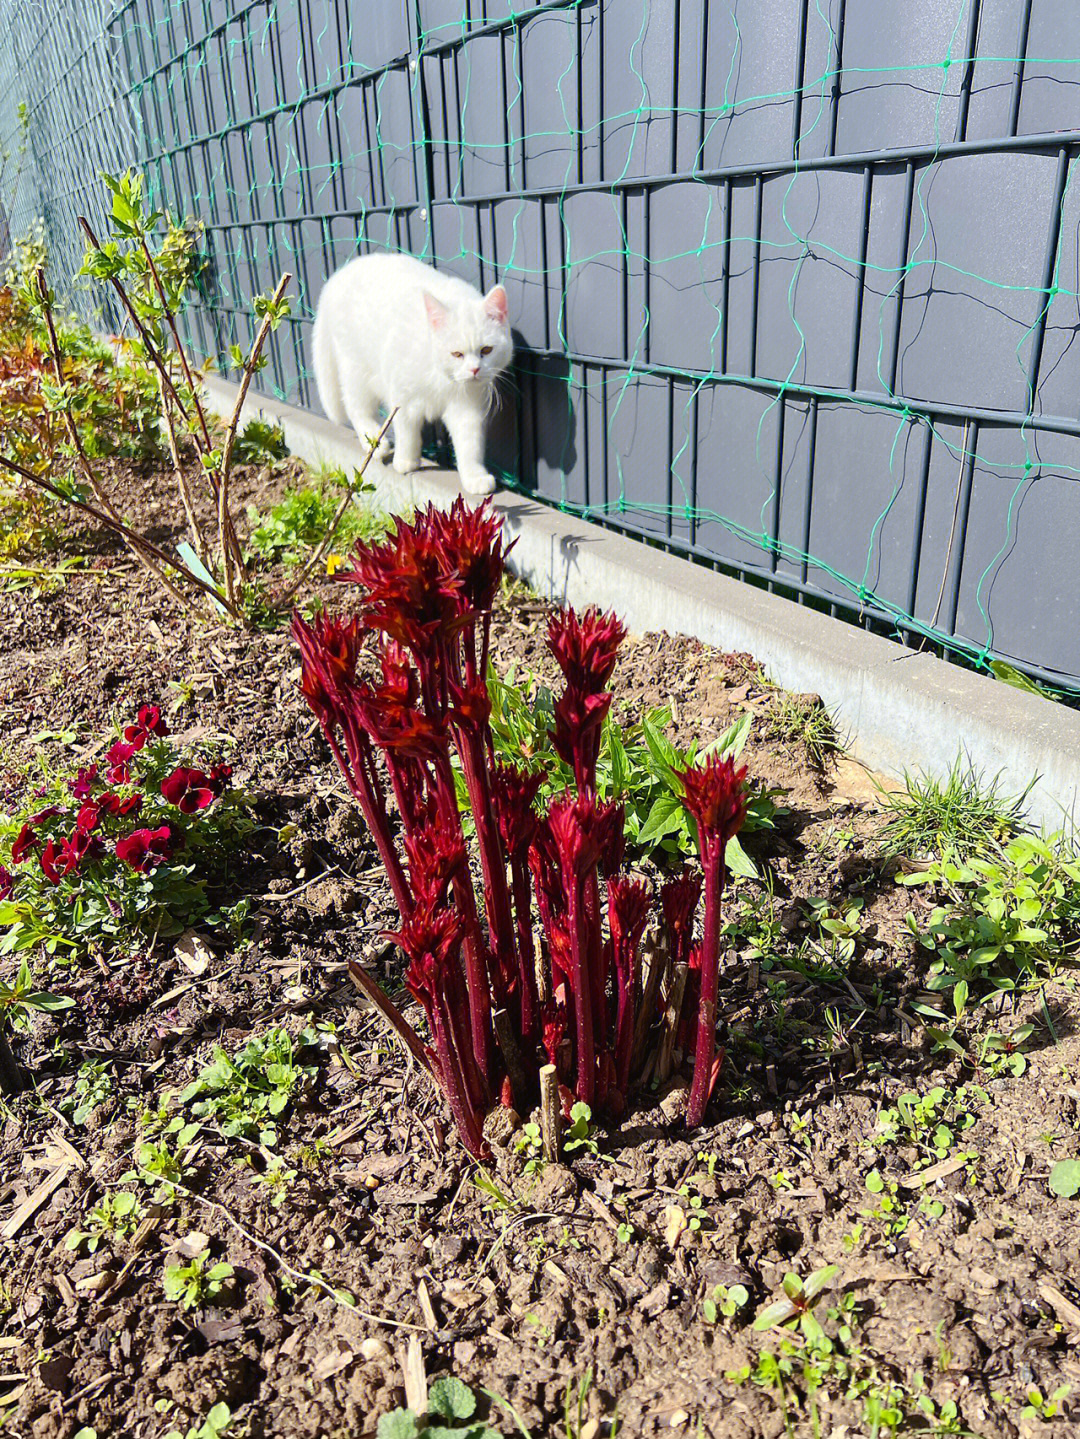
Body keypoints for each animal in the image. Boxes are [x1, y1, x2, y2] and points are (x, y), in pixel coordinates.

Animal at [310, 257, 511, 500]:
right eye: (456, 354)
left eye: (487, 350)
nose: (474, 370)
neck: (443, 378)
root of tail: (336, 278)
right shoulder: (401, 396)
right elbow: (407, 430)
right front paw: (406, 460)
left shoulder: (467, 408)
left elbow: (470, 444)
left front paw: (474, 477)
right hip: (356, 369)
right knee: (356, 407)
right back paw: (375, 442)